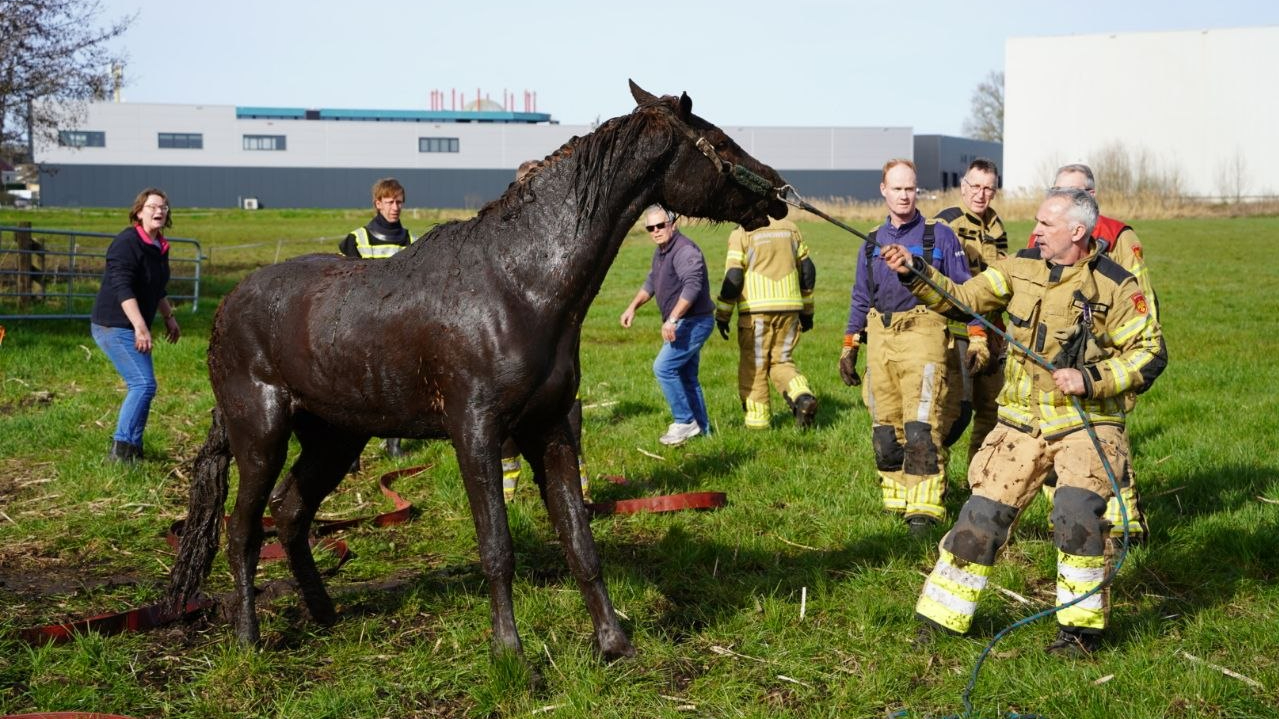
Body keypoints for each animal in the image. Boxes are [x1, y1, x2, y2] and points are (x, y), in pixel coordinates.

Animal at [166, 80, 788, 662]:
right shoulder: (476, 433)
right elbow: (497, 548)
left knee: (291, 513)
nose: (780, 192)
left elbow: (580, 541)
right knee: (243, 529)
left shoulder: (549, 430)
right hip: (261, 435)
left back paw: (323, 613)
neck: (517, 283)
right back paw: (248, 637)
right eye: (720, 142)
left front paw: (614, 643)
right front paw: (510, 653)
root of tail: (227, 309)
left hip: (335, 438)